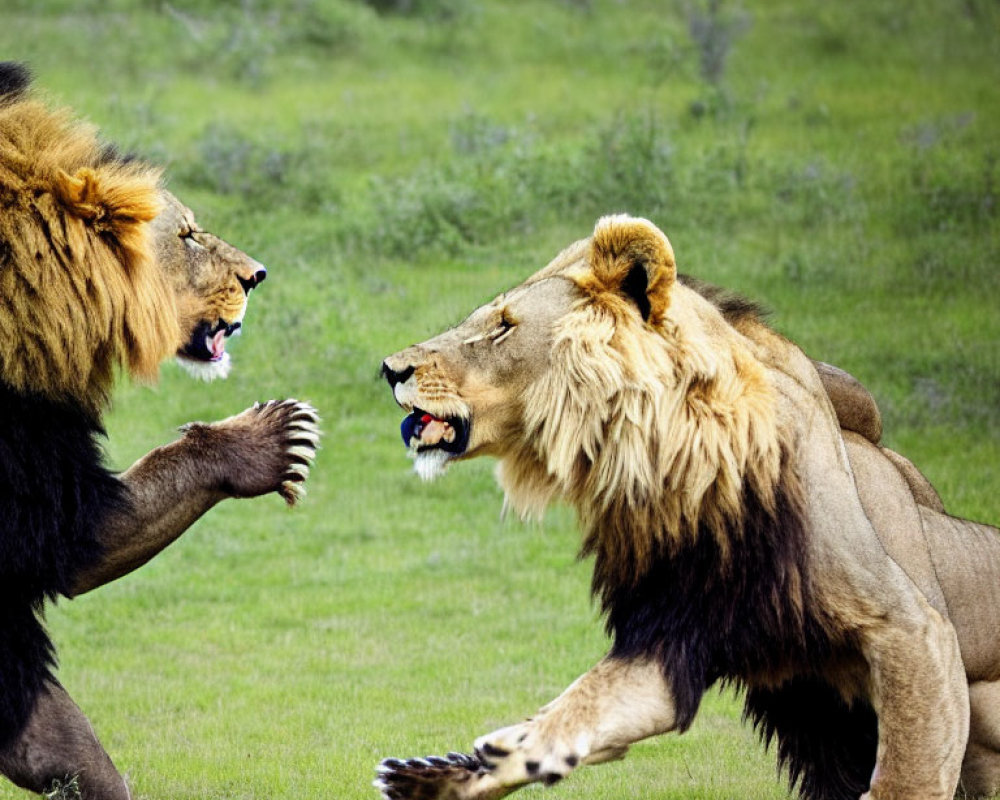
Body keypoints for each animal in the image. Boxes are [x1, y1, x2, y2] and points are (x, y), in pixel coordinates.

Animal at [376, 214, 1000, 800]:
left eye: (503, 327)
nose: (389, 369)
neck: (671, 478)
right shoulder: (670, 634)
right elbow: (587, 701)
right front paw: (467, 766)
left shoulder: (909, 627)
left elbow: (907, 771)